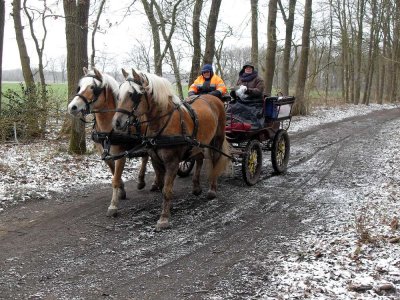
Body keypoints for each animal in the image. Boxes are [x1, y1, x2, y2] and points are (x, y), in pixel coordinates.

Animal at [112, 69, 231, 231]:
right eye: (119, 94)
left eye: (133, 94)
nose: (117, 122)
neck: (163, 122)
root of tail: (213, 98)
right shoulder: (156, 160)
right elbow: (163, 185)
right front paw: (166, 208)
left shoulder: (172, 162)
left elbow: (167, 190)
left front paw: (164, 218)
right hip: (199, 143)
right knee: (199, 159)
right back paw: (196, 187)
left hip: (217, 139)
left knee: (215, 159)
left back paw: (212, 188)